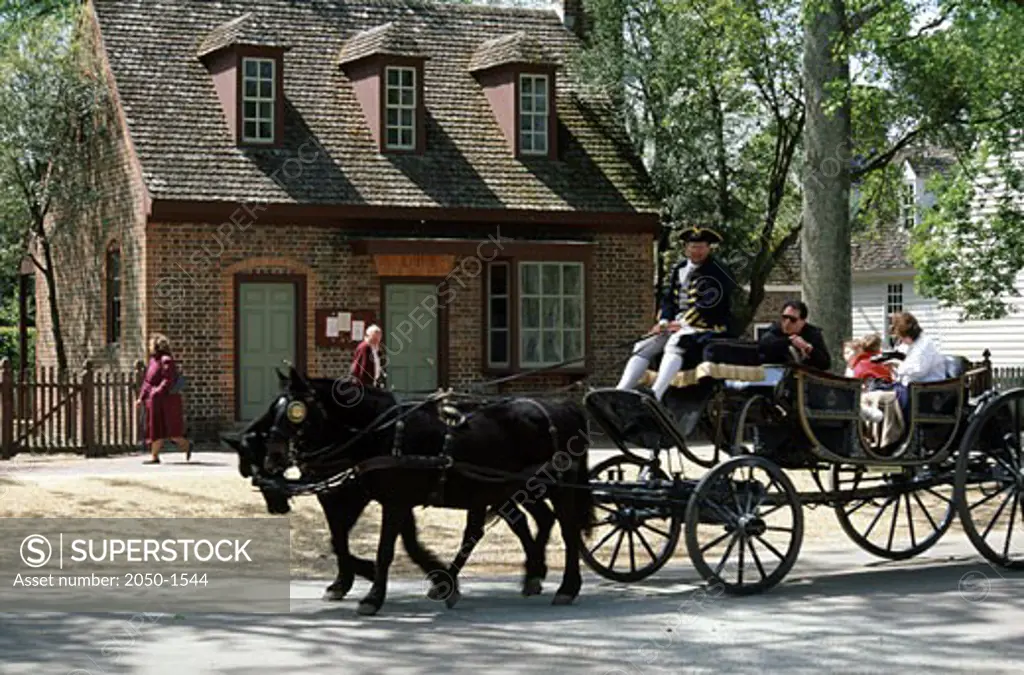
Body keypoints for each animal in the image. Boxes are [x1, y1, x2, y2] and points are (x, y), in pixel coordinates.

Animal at [235, 372, 598, 614]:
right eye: (276, 408)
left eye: (296, 411)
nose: (273, 458)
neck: (379, 432)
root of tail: (561, 407)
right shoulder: (391, 500)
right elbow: (363, 541)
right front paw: (434, 579)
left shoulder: (391, 500)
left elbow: (383, 549)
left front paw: (372, 596)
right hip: (505, 488)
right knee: (509, 526)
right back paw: (523, 576)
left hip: (553, 487)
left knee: (566, 530)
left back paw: (566, 586)